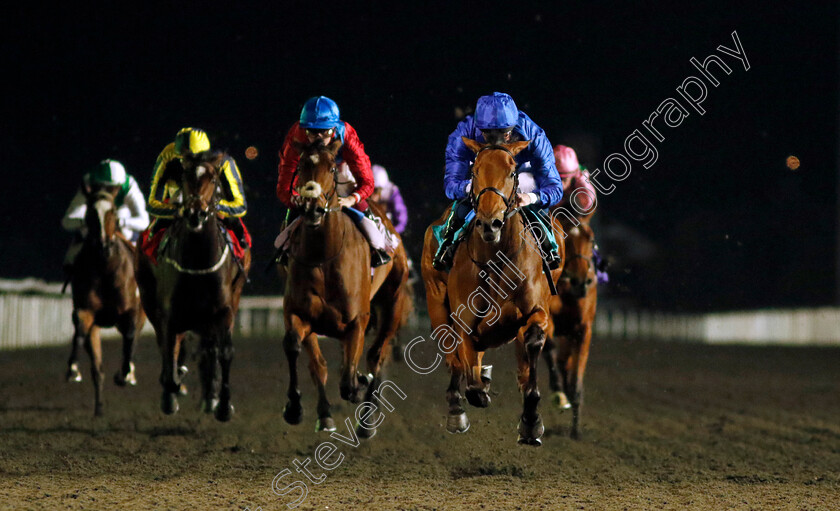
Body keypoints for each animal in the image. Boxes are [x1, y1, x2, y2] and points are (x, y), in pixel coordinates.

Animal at [66, 187, 145, 416]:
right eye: (91, 212)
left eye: (113, 212)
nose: (103, 246)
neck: (105, 269)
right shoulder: (86, 312)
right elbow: (79, 334)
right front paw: (73, 369)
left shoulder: (131, 312)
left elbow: (130, 338)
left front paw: (124, 374)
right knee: (97, 367)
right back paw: (99, 408)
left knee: (132, 341)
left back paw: (128, 372)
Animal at [136, 150, 249, 422]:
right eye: (184, 178)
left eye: (214, 180)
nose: (195, 213)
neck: (199, 260)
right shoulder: (169, 312)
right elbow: (169, 349)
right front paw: (171, 392)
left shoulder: (223, 310)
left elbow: (224, 352)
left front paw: (223, 405)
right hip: (148, 297)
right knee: (170, 344)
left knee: (209, 349)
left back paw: (209, 396)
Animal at [278, 139, 410, 436]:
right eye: (301, 166)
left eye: (331, 167)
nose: (312, 208)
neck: (323, 256)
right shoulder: (299, 313)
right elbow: (302, 353)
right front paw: (299, 408)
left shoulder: (357, 320)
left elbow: (349, 381)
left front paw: (360, 385)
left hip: (393, 302)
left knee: (377, 355)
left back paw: (367, 421)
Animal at [420, 138, 564, 446]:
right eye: (475, 172)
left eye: (512, 173)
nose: (490, 223)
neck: (497, 259)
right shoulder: (465, 321)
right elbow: (470, 379)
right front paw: (478, 392)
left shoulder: (535, 311)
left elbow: (532, 344)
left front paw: (531, 421)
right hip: (435, 299)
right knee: (453, 357)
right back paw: (457, 407)